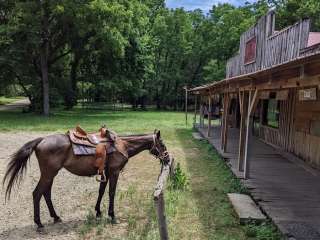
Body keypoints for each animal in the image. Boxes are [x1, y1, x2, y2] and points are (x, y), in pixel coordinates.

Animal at [2, 129, 169, 231]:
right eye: (162, 144)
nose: (167, 159)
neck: (123, 145)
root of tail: (41, 140)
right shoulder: (114, 173)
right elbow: (111, 193)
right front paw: (112, 215)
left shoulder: (105, 173)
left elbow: (101, 192)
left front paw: (98, 212)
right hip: (48, 173)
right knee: (37, 193)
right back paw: (39, 223)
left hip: (50, 174)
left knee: (46, 193)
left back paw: (55, 217)